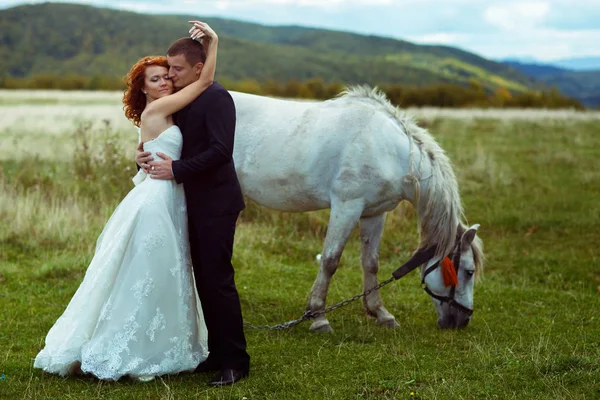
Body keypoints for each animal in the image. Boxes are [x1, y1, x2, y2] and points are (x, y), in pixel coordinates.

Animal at [229, 86, 482, 332]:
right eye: (468, 271)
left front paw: (381, 313)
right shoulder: (347, 207)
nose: (463, 320)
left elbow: (371, 263)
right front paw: (319, 317)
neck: (388, 150)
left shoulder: (374, 213)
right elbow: (330, 260)